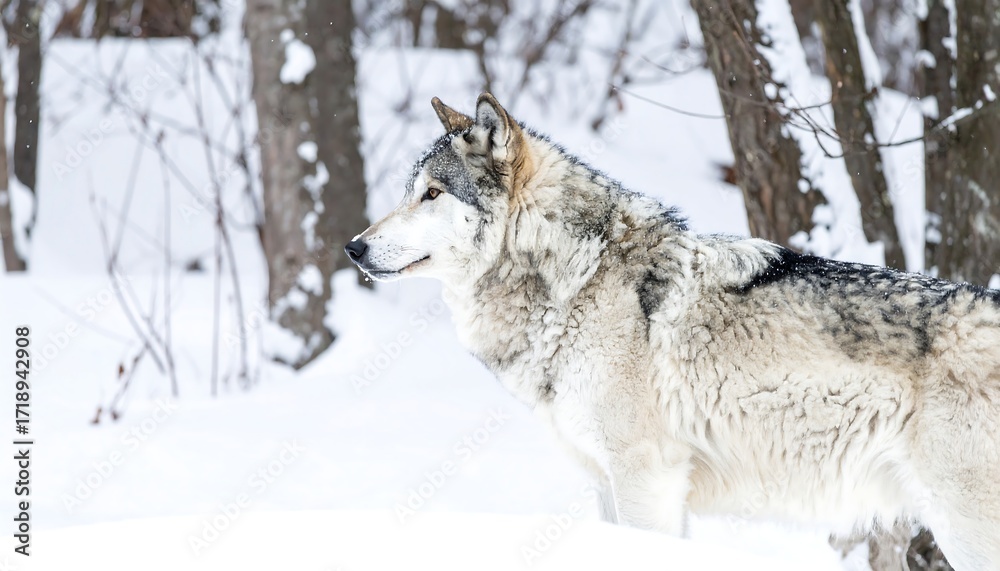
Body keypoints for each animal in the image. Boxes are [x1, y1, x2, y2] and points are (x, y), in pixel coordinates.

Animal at [345, 93, 1000, 569]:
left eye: (431, 194)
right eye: (408, 193)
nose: (354, 247)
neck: (577, 277)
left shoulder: (646, 478)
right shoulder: (613, 484)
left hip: (963, 527)